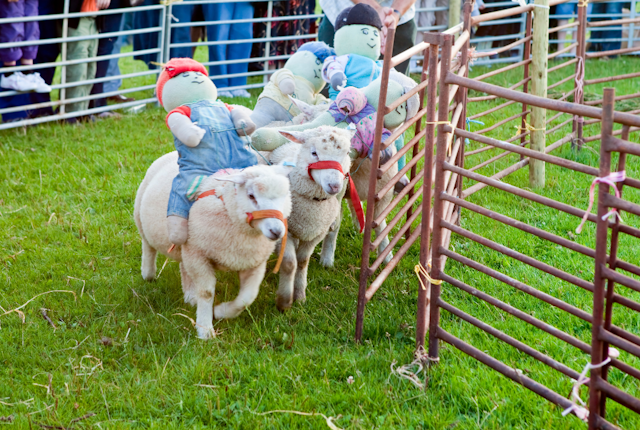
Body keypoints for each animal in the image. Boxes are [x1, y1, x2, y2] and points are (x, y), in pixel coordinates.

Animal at [138, 152, 296, 340]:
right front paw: (205, 329)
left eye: (285, 195)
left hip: (188, 247)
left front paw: (221, 312)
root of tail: (171, 153)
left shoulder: (254, 262)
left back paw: (190, 296)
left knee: (184, 266)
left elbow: (247, 297)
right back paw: (148, 274)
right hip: (142, 220)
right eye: (251, 196)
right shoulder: (199, 255)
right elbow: (206, 292)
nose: (277, 231)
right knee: (148, 247)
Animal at [268, 124, 352, 310]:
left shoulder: (316, 233)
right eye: (314, 153)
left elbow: (302, 261)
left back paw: (327, 259)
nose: (334, 186)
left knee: (335, 227)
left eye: (347, 153)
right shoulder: (285, 232)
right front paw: (284, 301)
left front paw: (299, 296)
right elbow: (290, 263)